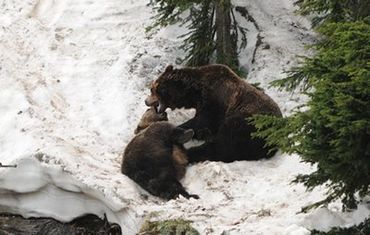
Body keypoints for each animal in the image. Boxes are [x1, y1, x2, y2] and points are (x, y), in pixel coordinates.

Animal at [146, 64, 282, 163]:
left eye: (153, 89)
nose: (146, 101)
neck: (196, 92)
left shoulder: (216, 102)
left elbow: (202, 121)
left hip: (248, 123)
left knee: (222, 146)